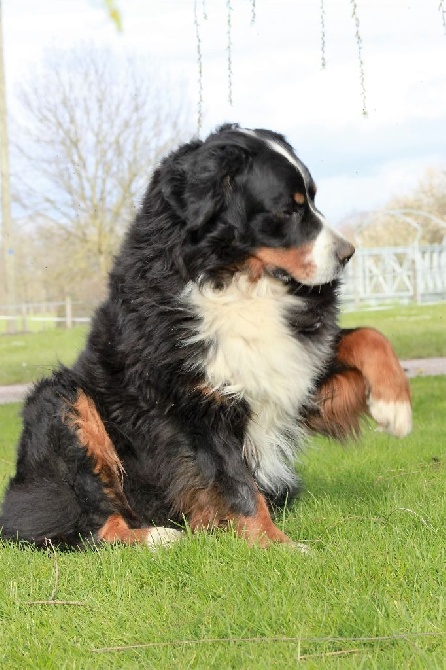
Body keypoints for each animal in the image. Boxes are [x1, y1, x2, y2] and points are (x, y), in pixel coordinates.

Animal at [0, 123, 412, 548]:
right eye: (289, 209)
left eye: (313, 200)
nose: (348, 253)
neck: (235, 281)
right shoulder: (193, 404)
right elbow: (237, 483)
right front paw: (275, 545)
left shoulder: (293, 363)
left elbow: (368, 335)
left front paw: (394, 406)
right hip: (62, 404)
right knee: (93, 523)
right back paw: (158, 537)